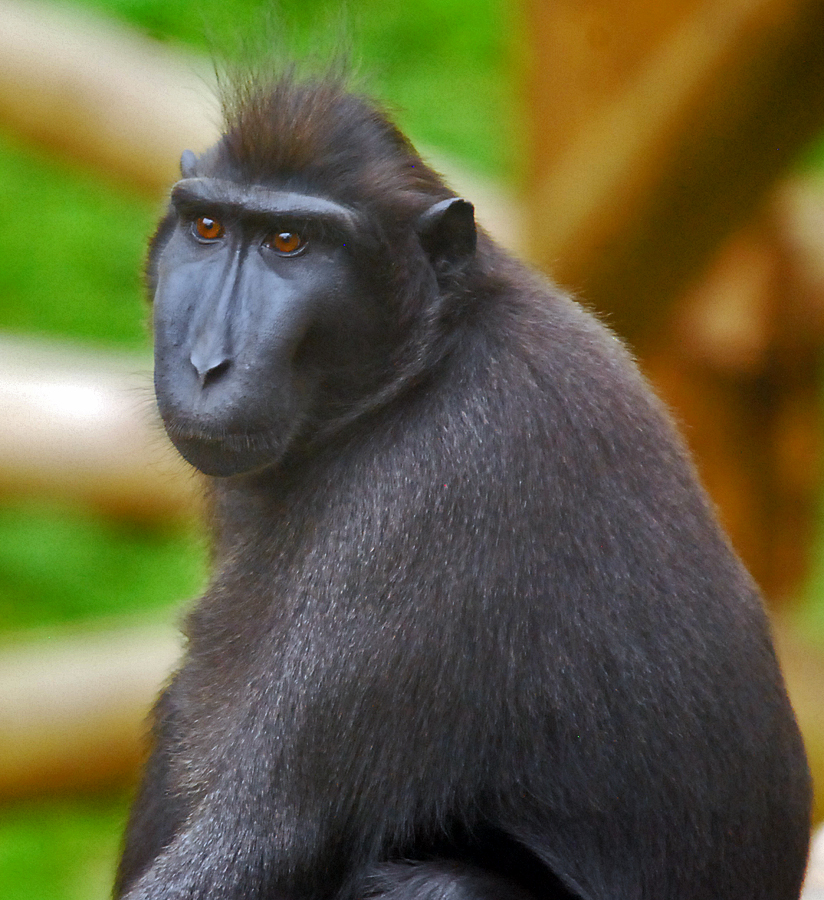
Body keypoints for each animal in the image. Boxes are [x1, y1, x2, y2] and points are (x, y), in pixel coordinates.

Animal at [114, 72, 811, 900]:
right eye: (208, 228)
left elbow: (267, 830)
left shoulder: (437, 487)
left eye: (290, 243)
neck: (412, 367)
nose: (206, 364)